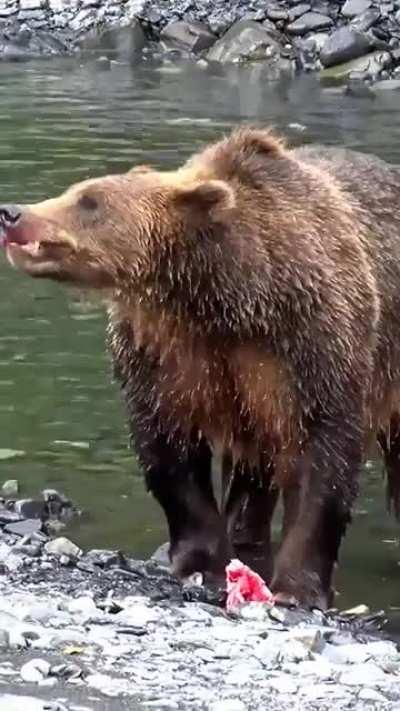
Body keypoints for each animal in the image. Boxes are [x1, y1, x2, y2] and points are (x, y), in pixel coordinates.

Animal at [1, 126, 400, 609]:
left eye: (90, 200)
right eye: (79, 191)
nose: (12, 212)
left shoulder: (314, 342)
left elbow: (323, 455)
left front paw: (299, 588)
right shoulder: (166, 350)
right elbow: (168, 446)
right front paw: (201, 560)